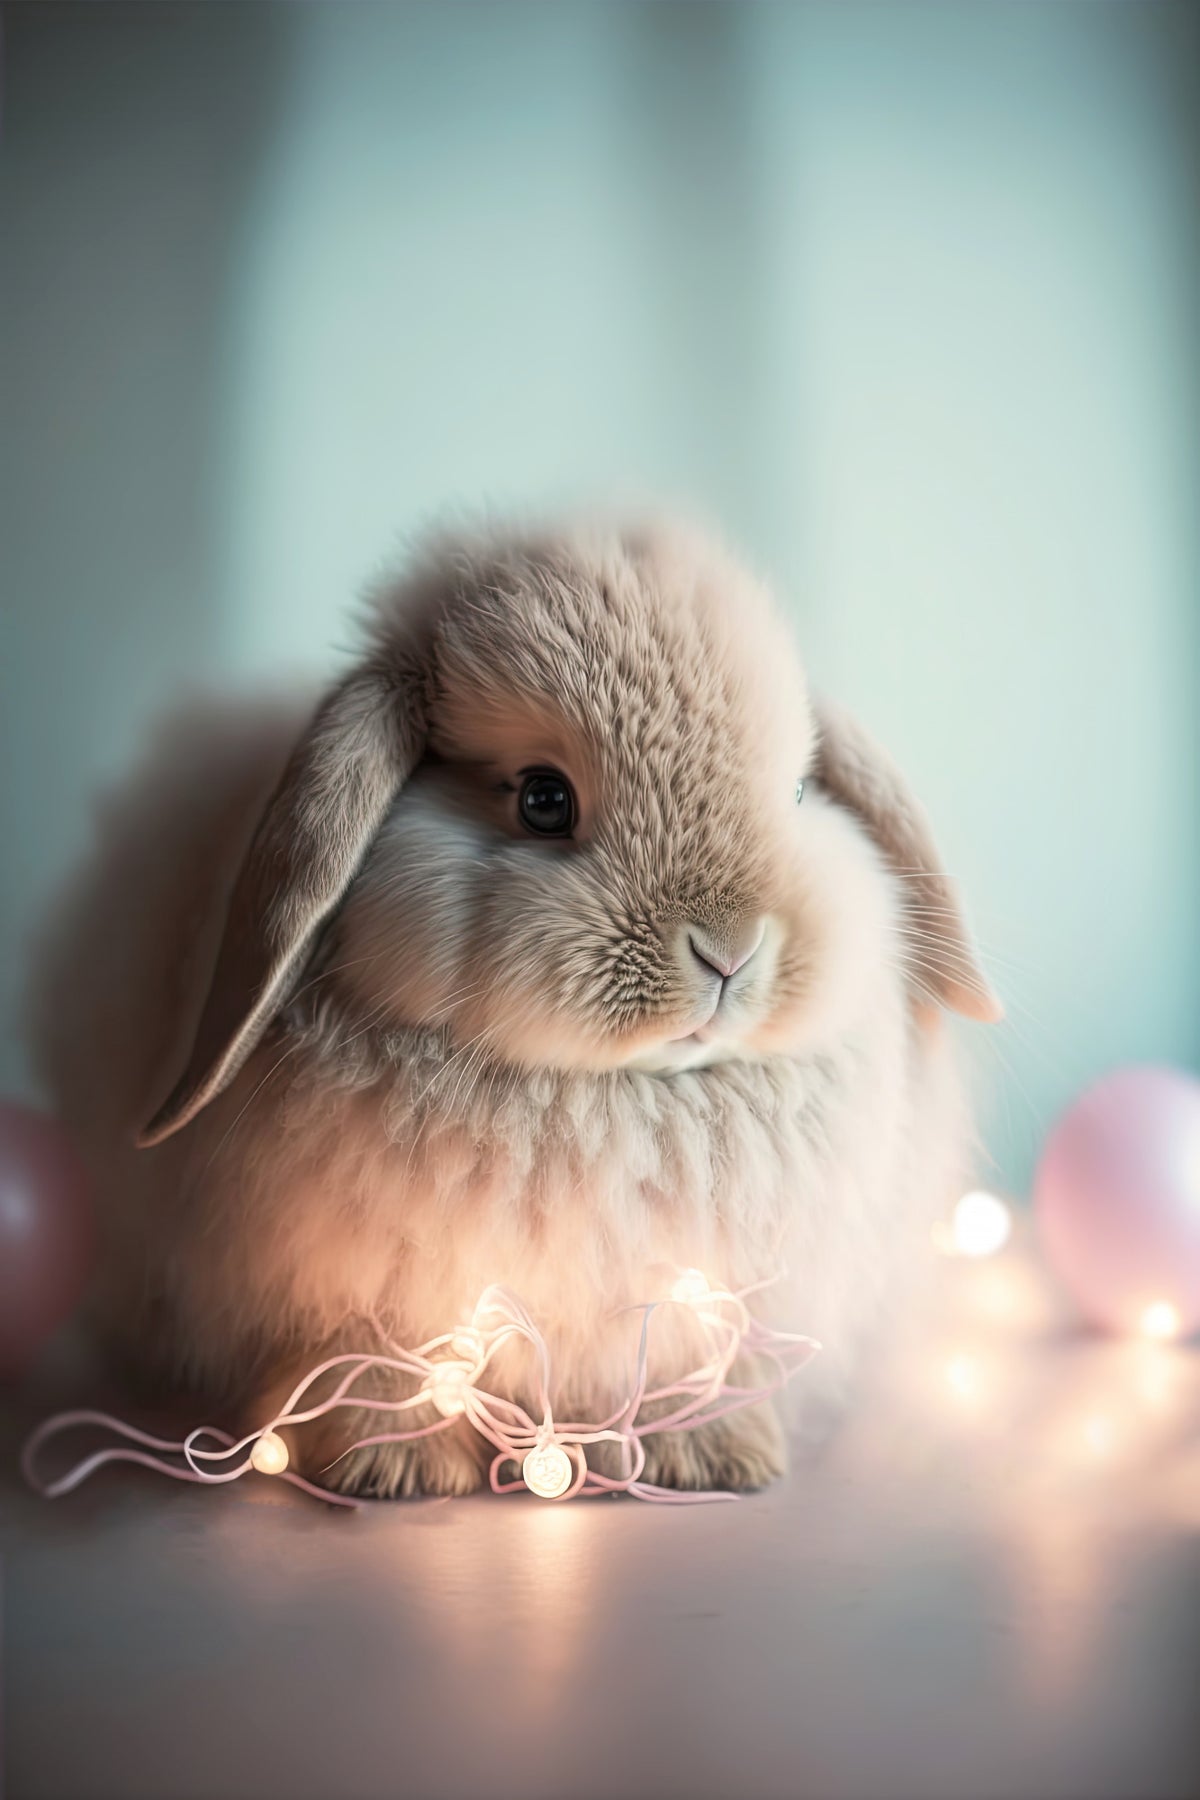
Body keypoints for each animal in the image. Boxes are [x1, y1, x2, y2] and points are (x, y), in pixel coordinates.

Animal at [25, 518, 1001, 1497]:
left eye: (798, 792)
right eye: (542, 798)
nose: (729, 949)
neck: (611, 1098)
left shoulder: (691, 1297)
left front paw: (710, 1454)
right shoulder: (354, 1294)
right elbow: (375, 1361)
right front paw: (394, 1468)